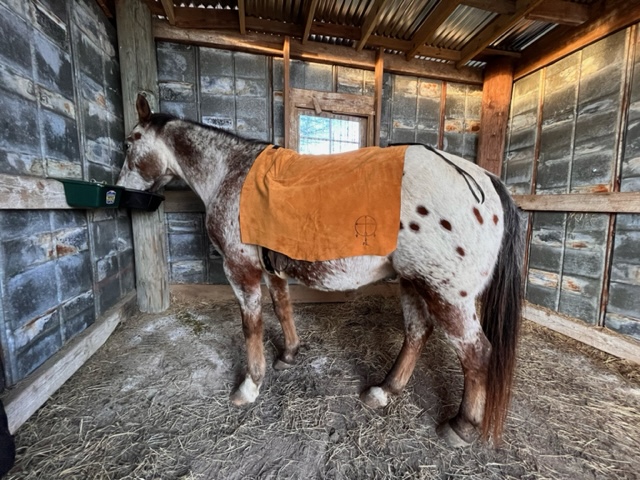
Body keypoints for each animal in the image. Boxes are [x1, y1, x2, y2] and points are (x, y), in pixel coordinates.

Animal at [117, 93, 523, 447]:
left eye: (128, 143)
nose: (122, 194)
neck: (231, 174)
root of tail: (485, 179)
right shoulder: (272, 270)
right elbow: (282, 308)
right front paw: (289, 355)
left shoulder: (240, 268)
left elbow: (251, 325)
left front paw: (250, 385)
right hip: (412, 281)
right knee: (417, 333)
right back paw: (384, 391)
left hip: (446, 294)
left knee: (476, 353)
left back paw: (462, 426)